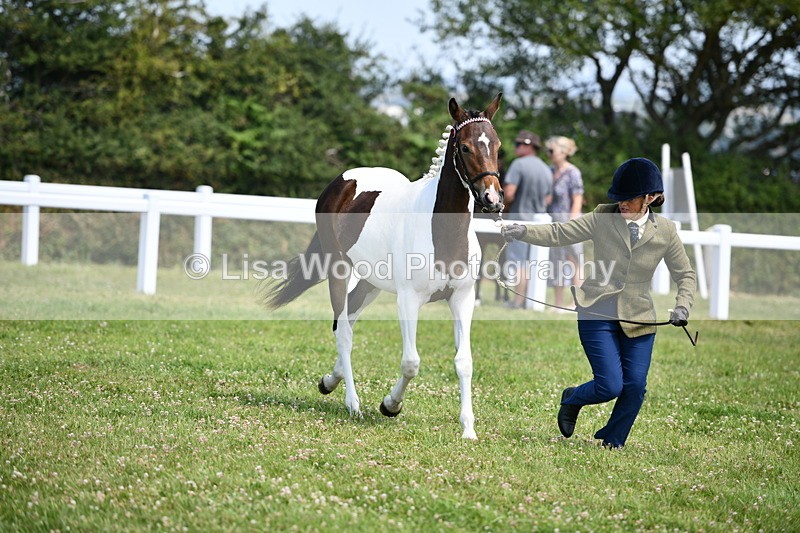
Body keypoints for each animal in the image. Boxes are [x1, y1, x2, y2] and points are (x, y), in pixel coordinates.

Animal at [263, 93, 504, 439]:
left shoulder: (462, 298)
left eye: (497, 146)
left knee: (347, 319)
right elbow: (411, 362)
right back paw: (353, 404)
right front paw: (390, 405)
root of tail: (341, 182)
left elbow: (464, 361)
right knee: (343, 330)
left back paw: (329, 381)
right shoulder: (408, 300)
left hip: (370, 284)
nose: (492, 199)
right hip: (339, 271)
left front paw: (468, 429)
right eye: (466, 147)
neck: (442, 232)